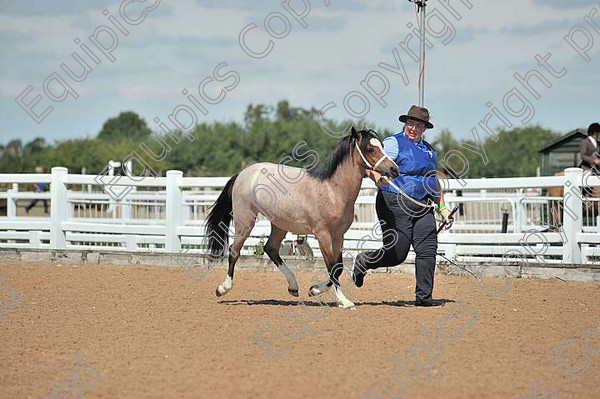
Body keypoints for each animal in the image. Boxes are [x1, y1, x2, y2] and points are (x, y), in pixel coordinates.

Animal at [203, 128, 398, 310]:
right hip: (245, 220)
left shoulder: (338, 235)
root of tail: (243, 174)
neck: (332, 191)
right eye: (370, 149)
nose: (394, 169)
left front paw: (314, 290)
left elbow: (338, 267)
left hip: (280, 224)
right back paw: (223, 288)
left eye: (381, 145)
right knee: (234, 251)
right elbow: (332, 267)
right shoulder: (323, 234)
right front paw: (343, 301)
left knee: (271, 249)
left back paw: (293, 286)